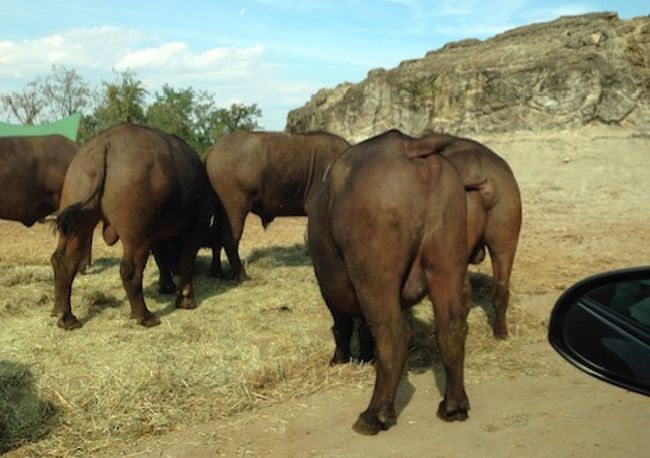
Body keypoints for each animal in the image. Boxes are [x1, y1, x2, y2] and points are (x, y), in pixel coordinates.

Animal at [52, 121, 213, 330]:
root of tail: (105, 143)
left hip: (77, 224)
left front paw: (167, 286)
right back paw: (144, 315)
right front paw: (186, 299)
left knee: (63, 260)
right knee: (130, 271)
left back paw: (65, 315)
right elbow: (187, 259)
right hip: (136, 238)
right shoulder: (198, 225)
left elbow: (161, 256)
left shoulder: (156, 234)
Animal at [205, 129, 350, 280]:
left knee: (215, 236)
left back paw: (217, 272)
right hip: (236, 208)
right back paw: (242, 276)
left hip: (221, 211)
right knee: (229, 238)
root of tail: (214, 148)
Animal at [306, 130, 468, 436]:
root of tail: (410, 147)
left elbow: (342, 326)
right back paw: (454, 405)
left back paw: (374, 415)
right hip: (447, 268)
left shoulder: (328, 288)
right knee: (452, 329)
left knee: (393, 335)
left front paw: (339, 359)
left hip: (374, 278)